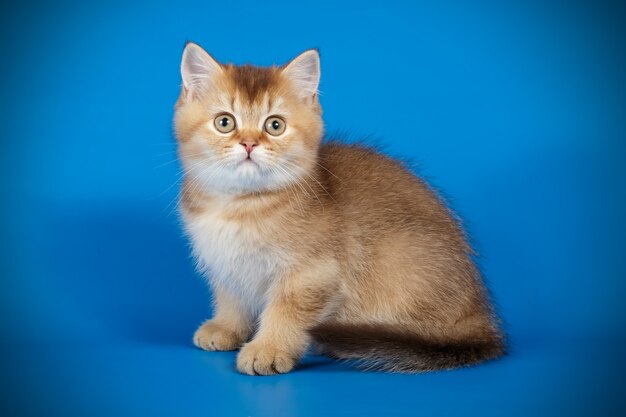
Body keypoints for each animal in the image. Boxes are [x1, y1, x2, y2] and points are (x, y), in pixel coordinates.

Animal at [172, 42, 502, 374]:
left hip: (400, 254)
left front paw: (269, 349)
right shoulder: (225, 261)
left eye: (275, 125)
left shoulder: (313, 274)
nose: (249, 144)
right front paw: (226, 328)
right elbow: (231, 296)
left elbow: (286, 312)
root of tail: (481, 314)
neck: (240, 203)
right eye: (224, 122)